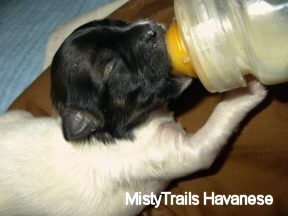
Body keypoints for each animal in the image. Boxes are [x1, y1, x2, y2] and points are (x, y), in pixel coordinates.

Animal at [0, 19, 266, 215]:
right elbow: (220, 119)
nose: (151, 29)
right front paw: (247, 86)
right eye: (113, 67)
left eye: (119, 23)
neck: (113, 133)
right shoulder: (181, 152)